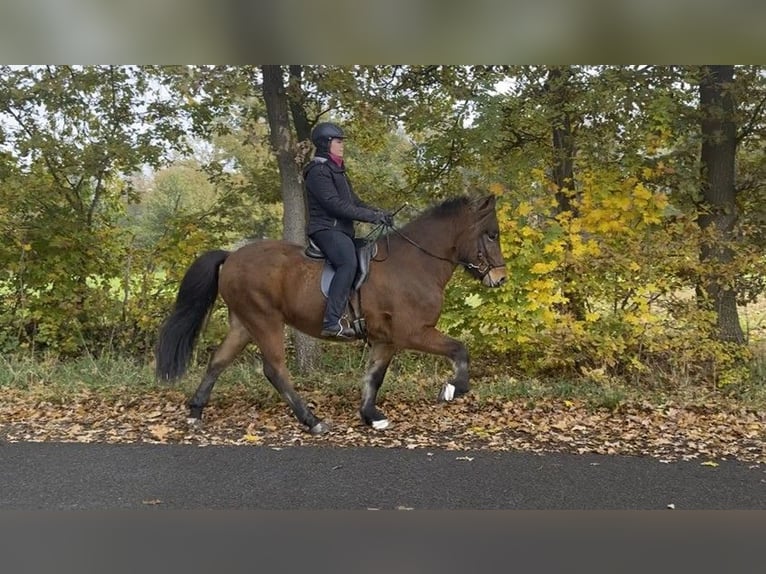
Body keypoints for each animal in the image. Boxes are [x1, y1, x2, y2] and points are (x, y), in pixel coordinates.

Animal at [156, 195, 510, 436]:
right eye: (492, 234)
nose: (501, 278)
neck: (415, 262)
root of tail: (231, 257)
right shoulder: (413, 333)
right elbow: (459, 349)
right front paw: (453, 389)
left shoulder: (386, 340)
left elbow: (374, 376)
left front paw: (371, 415)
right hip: (264, 321)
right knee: (274, 370)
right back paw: (312, 421)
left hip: (244, 323)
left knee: (218, 360)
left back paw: (195, 412)